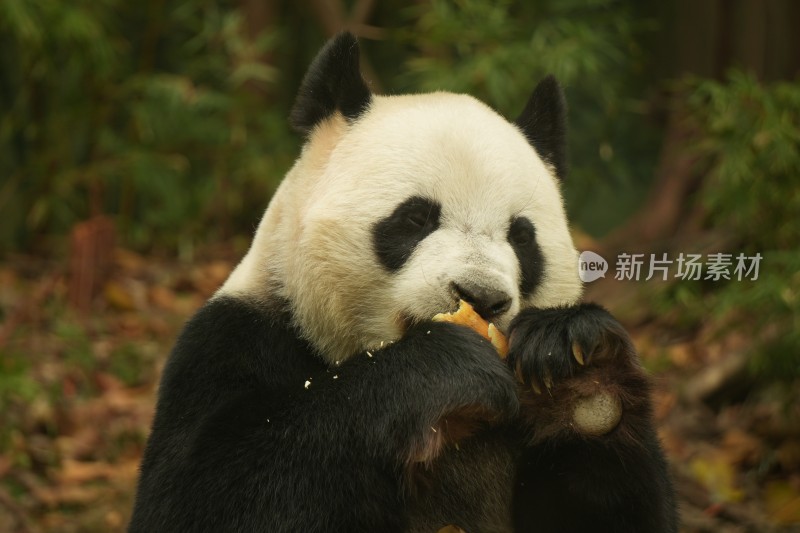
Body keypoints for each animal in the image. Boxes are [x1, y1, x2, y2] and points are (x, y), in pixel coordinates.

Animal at [128, 33, 680, 532]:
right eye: (415, 218)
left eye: (522, 237)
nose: (482, 297)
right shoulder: (234, 339)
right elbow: (206, 493)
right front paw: (445, 370)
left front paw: (578, 368)